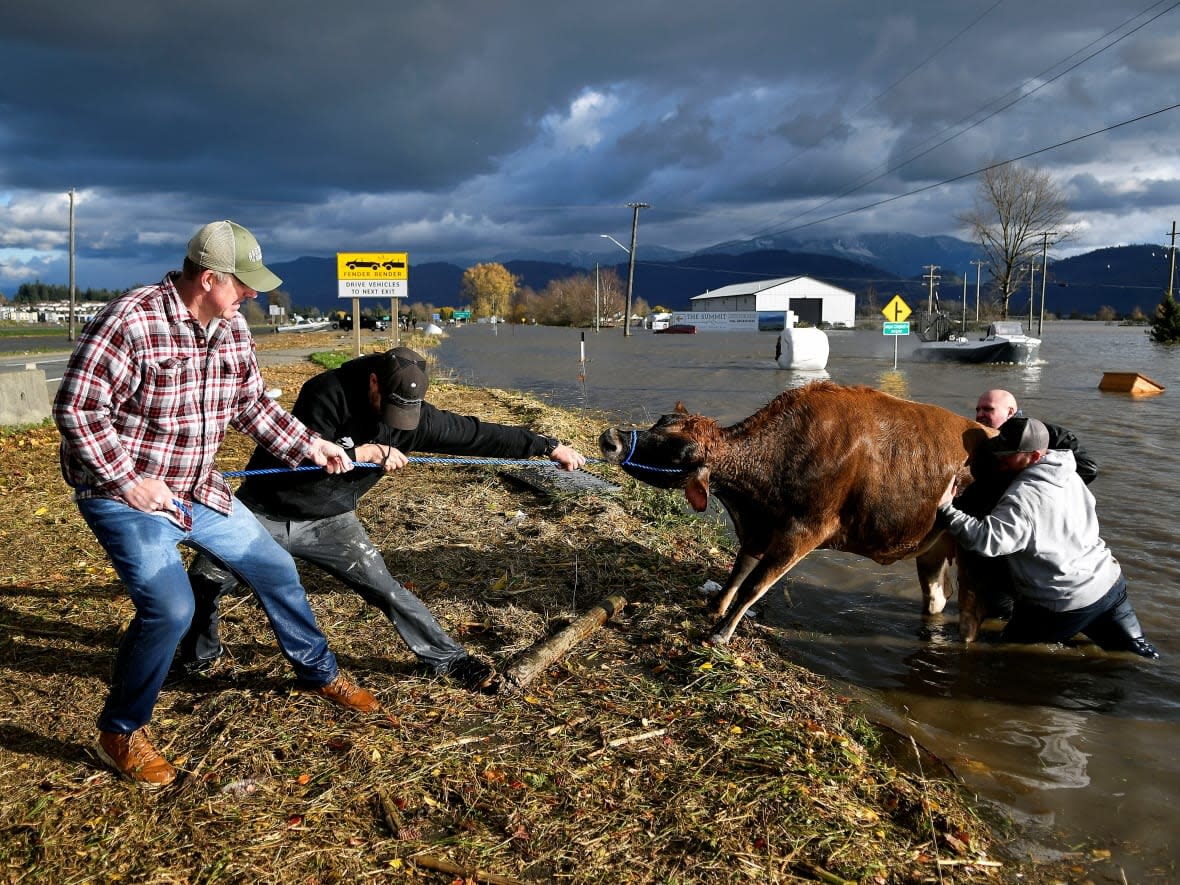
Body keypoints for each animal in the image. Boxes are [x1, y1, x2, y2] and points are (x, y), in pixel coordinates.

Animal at [599, 382, 995, 646]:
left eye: (681, 454)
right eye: (660, 421)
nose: (611, 438)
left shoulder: (804, 530)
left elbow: (755, 585)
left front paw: (721, 634)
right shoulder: (759, 528)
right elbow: (737, 572)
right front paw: (715, 607)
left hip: (977, 559)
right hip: (932, 547)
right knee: (937, 597)